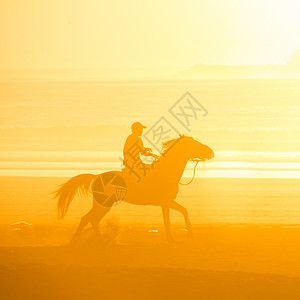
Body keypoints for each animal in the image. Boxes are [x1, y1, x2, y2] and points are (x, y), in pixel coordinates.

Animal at [53, 135, 213, 243]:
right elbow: (169, 220)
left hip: (104, 205)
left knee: (91, 219)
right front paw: (174, 239)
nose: (211, 152)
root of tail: (96, 176)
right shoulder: (165, 202)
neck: (166, 171)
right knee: (88, 219)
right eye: (194, 143)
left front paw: (188, 235)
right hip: (103, 204)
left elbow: (182, 211)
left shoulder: (166, 202)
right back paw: (90, 240)